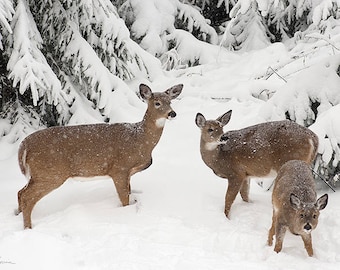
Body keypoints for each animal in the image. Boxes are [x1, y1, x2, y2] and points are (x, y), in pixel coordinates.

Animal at [16, 83, 183, 229]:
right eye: (157, 103)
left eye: (170, 101)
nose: (172, 113)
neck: (139, 138)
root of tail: (24, 145)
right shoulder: (119, 168)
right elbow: (124, 199)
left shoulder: (128, 173)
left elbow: (128, 193)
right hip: (51, 173)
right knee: (27, 197)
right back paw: (28, 228)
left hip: (39, 175)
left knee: (20, 192)